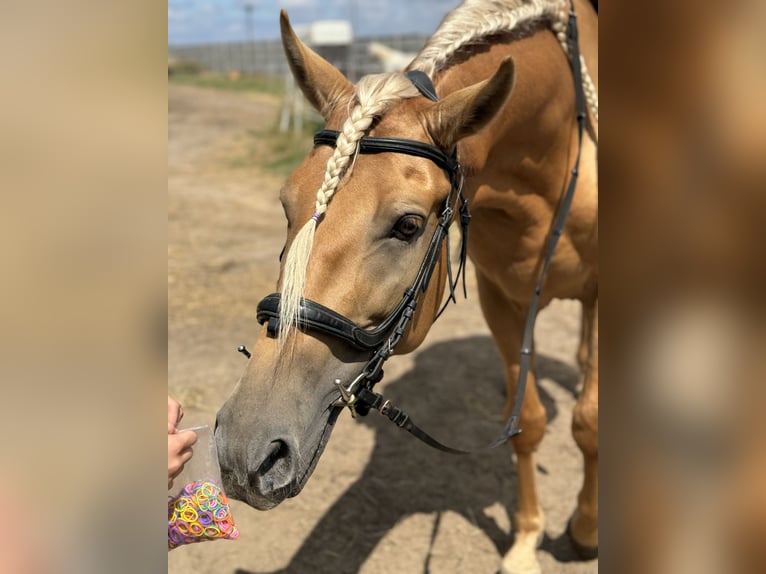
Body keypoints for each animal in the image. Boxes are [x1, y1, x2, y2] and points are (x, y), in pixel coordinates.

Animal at [216, 2, 600, 572]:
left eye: (409, 225)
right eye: (286, 205)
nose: (245, 448)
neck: (556, 153)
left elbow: (589, 423)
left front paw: (585, 532)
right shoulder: (500, 299)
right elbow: (527, 423)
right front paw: (527, 540)